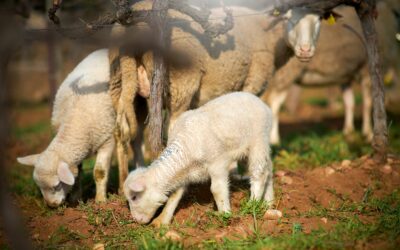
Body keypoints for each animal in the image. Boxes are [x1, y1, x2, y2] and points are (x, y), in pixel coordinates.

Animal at [16, 49, 115, 207]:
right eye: (39, 187)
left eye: (56, 186)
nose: (51, 206)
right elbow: (77, 176)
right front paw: (76, 199)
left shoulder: (107, 140)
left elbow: (100, 172)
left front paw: (100, 201)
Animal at [123, 92, 274, 225]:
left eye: (134, 197)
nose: (136, 220)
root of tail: (261, 103)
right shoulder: (184, 174)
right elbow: (175, 195)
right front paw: (162, 220)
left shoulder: (217, 165)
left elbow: (217, 190)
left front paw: (224, 215)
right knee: (269, 170)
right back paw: (269, 202)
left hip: (259, 141)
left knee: (259, 173)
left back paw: (252, 205)